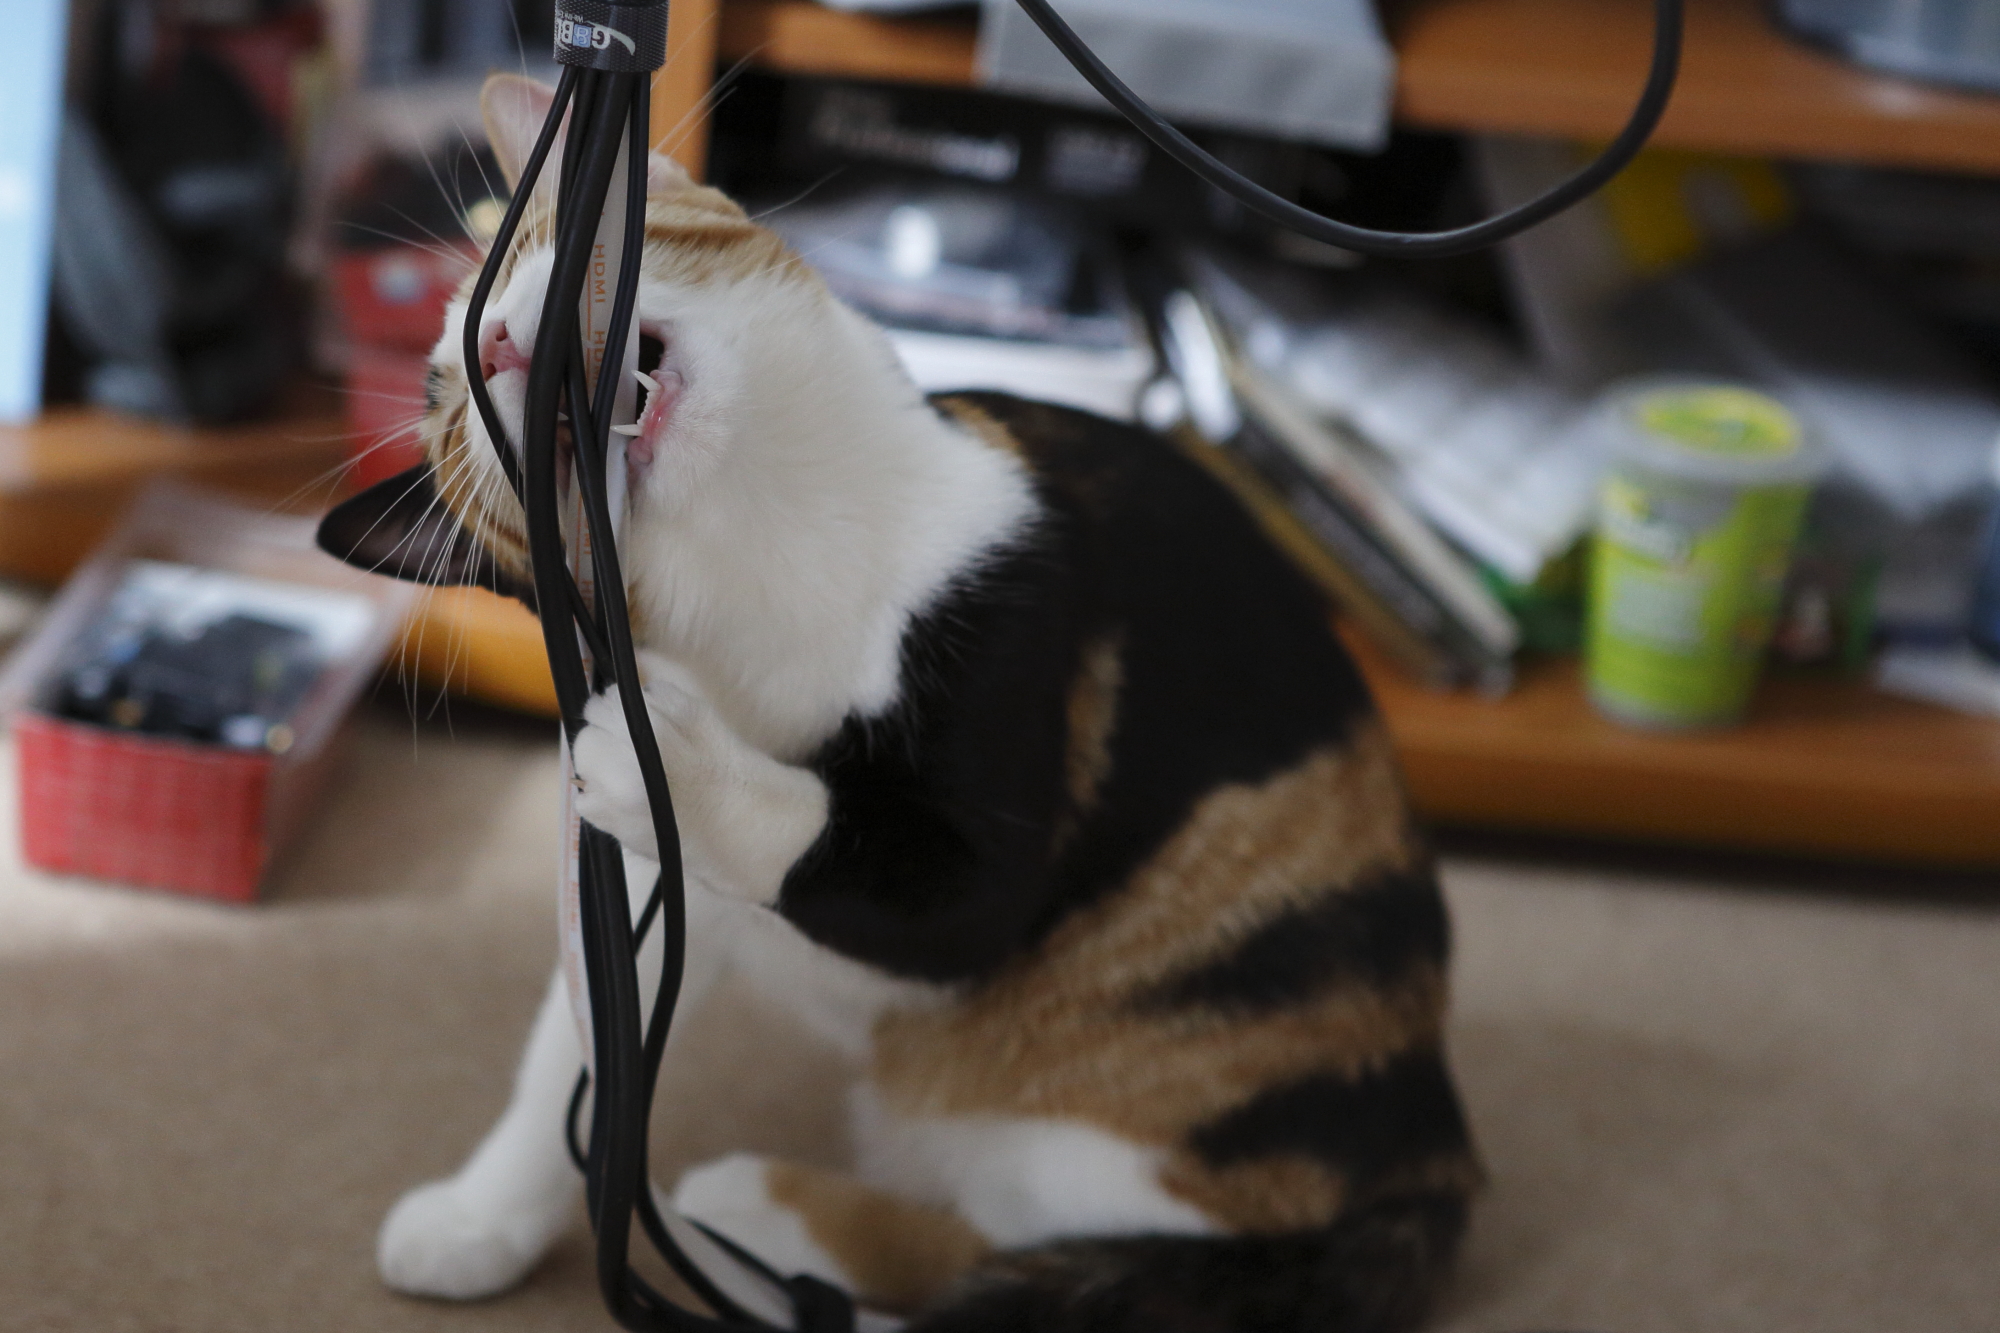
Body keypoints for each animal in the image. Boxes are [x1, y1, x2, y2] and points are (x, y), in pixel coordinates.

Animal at [318, 72, 1481, 1333]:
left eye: (542, 248)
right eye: (446, 410)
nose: (487, 337)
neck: (767, 554)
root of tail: (1435, 1155)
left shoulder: (1024, 650)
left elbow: (927, 886)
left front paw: (672, 762)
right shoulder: (640, 890)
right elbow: (580, 1054)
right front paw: (482, 1211)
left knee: (1043, 1253)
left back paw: (759, 1214)